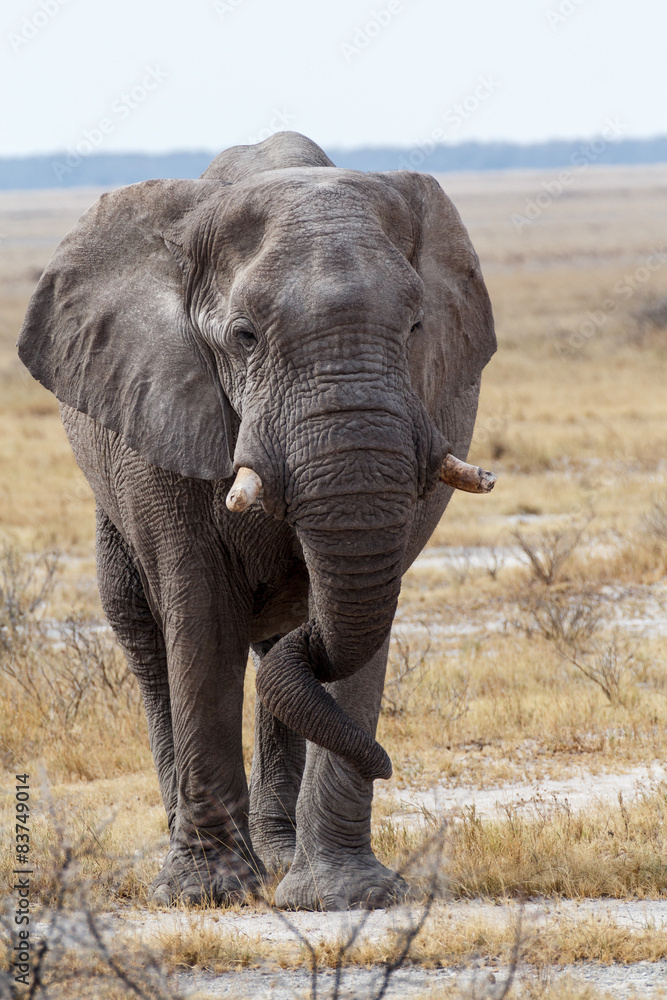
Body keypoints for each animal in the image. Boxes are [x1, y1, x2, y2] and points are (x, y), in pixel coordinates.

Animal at [18, 131, 496, 910]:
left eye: (416, 327)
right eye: (243, 336)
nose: (390, 763)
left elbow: (353, 628)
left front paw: (346, 897)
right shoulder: (163, 405)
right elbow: (200, 611)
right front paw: (205, 893)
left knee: (280, 644)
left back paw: (278, 854)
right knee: (145, 632)